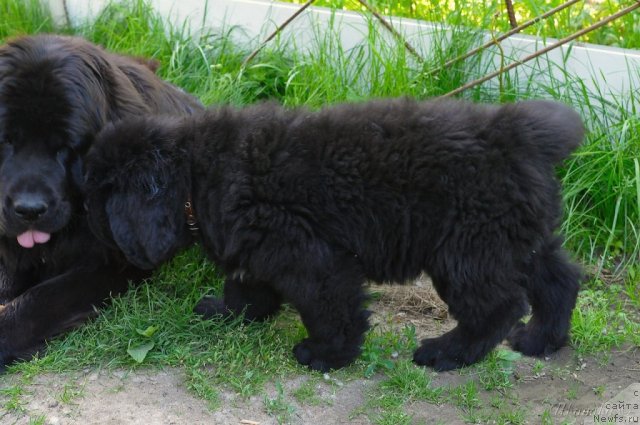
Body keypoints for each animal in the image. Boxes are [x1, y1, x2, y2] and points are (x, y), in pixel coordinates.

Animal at [85, 97, 584, 370]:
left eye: (95, 205)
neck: (196, 173)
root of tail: (518, 135)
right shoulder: (259, 247)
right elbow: (247, 286)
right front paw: (229, 313)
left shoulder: (309, 256)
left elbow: (331, 308)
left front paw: (326, 354)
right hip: (515, 239)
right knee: (559, 279)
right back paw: (540, 339)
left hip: (465, 250)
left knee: (498, 306)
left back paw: (447, 352)